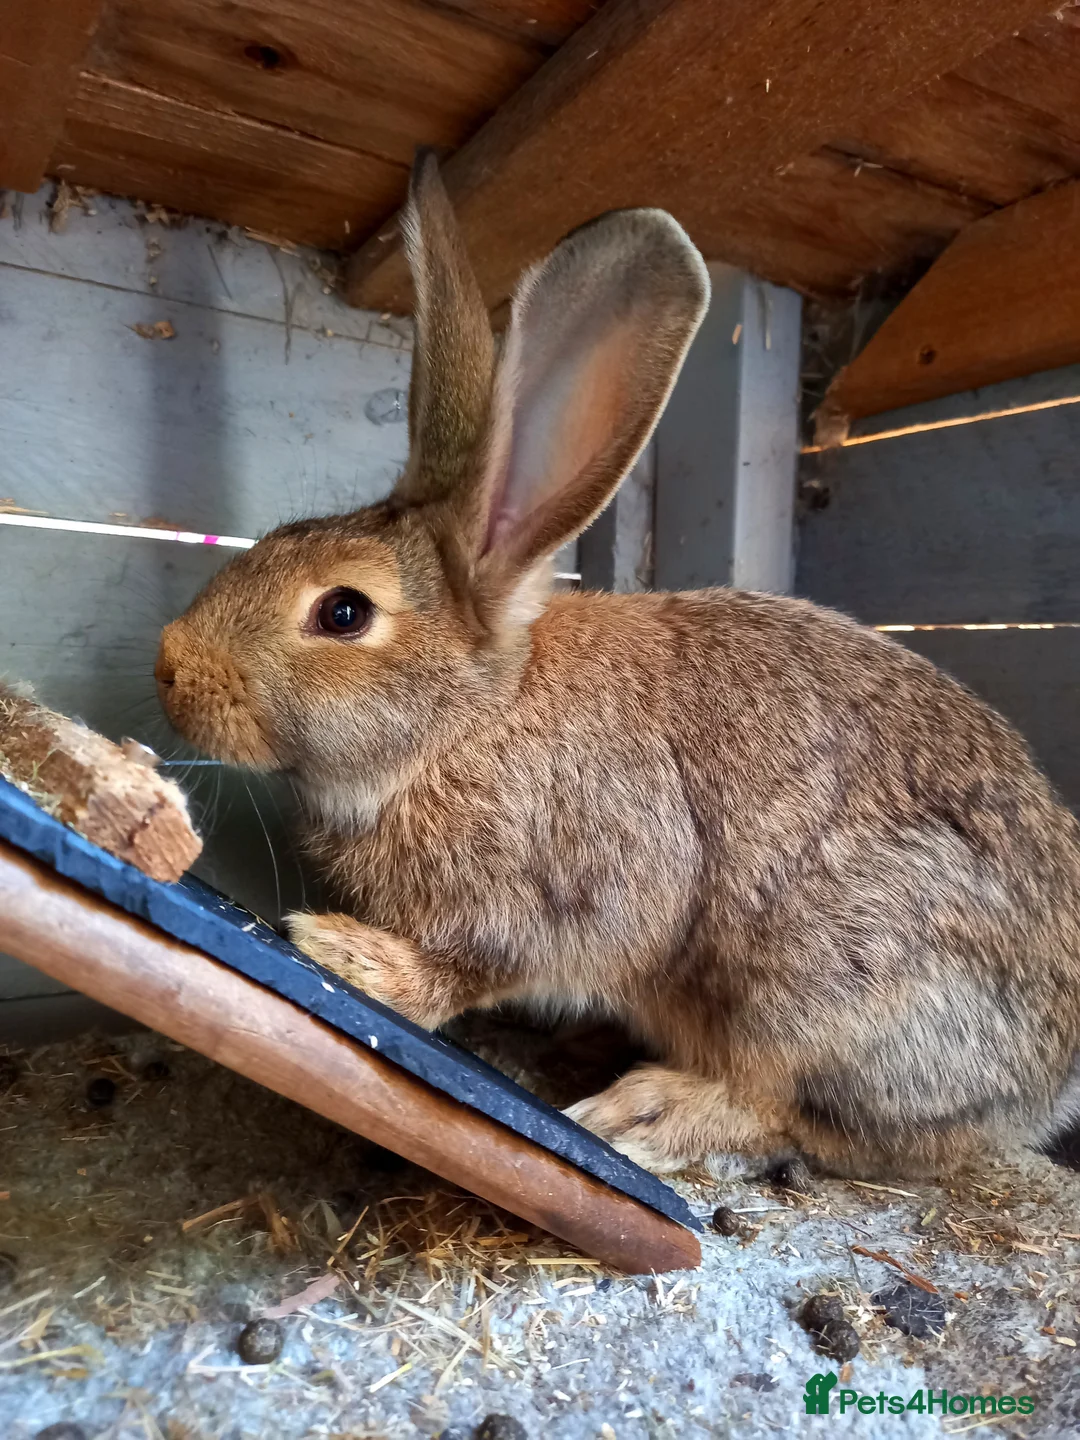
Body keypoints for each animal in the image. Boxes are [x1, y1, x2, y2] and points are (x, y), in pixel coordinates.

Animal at [156, 152, 1080, 1181]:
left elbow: (470, 971)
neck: (470, 720)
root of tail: (1047, 1090)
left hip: (816, 983)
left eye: (343, 613)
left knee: (792, 1110)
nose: (168, 666)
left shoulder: (563, 892)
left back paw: (646, 1109)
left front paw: (346, 953)